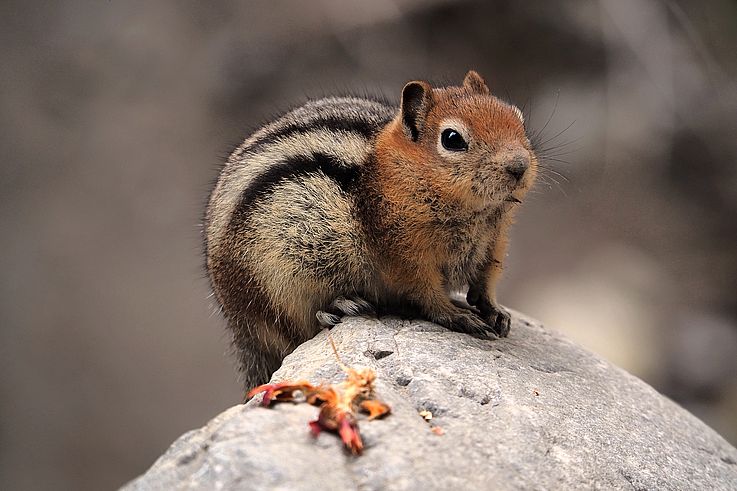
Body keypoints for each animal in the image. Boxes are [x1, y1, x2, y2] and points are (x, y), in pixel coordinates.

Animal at [205, 70, 537, 388]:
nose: (519, 166)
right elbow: (426, 294)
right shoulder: (403, 255)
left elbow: (485, 281)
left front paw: (495, 311)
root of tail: (241, 333)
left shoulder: (494, 242)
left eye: (518, 117)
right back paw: (338, 305)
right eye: (452, 138)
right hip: (279, 283)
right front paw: (457, 315)